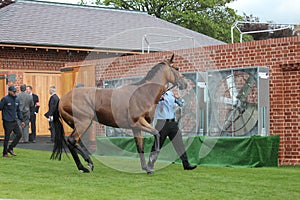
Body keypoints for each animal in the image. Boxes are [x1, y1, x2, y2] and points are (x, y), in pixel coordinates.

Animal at [51, 54, 188, 173]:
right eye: (177, 68)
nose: (185, 83)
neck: (143, 93)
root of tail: (62, 99)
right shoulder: (138, 122)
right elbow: (157, 134)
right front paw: (151, 162)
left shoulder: (136, 128)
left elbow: (140, 147)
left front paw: (146, 167)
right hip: (83, 122)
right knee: (72, 140)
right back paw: (89, 163)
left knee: (71, 142)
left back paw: (82, 167)